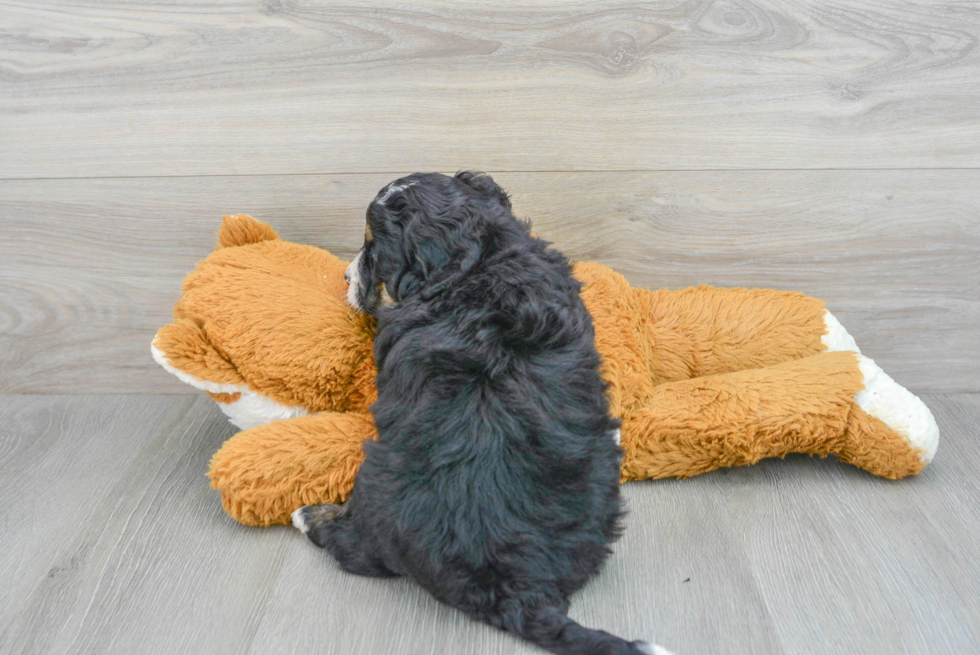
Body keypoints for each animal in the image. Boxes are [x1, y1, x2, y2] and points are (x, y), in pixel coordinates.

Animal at [290, 172, 668, 652]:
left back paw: (310, 516)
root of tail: (515, 585)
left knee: (355, 550)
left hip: (375, 483)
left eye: (372, 250)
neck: (481, 262)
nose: (344, 275)